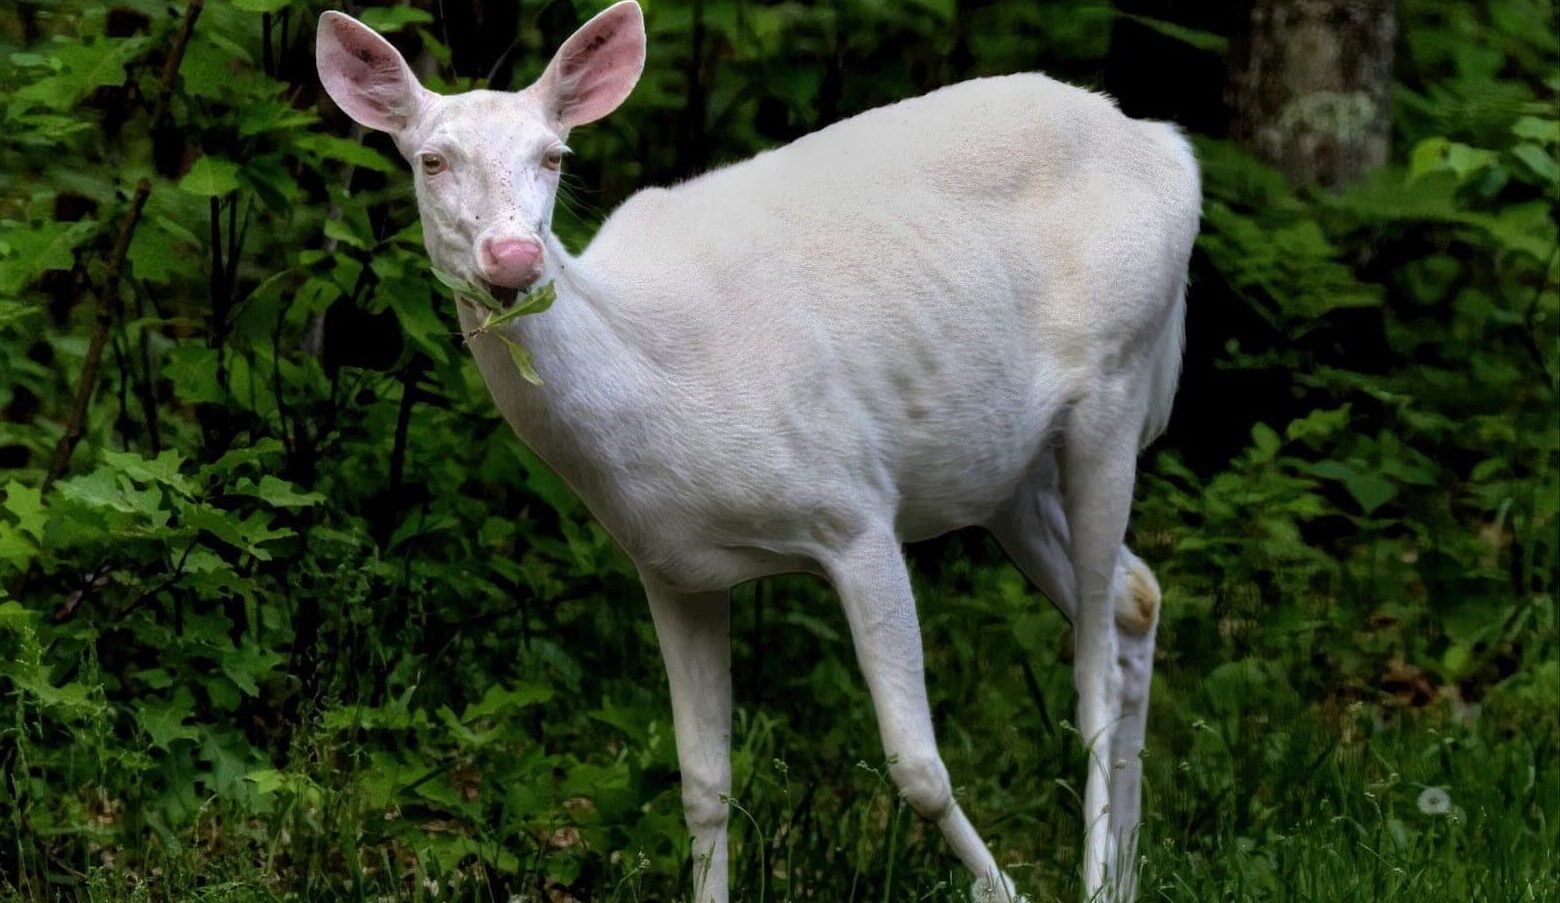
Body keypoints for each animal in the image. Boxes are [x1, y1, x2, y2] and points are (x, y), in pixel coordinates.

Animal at [316, 3, 1199, 900]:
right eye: (430, 158)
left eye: (553, 155)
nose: (514, 256)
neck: (657, 392)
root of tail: (1170, 149)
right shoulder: (672, 569)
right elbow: (704, 785)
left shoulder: (856, 508)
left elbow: (918, 767)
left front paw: (1003, 888)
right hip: (1003, 471)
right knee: (1136, 597)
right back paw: (1126, 873)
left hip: (1117, 382)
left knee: (1094, 672)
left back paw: (1097, 874)